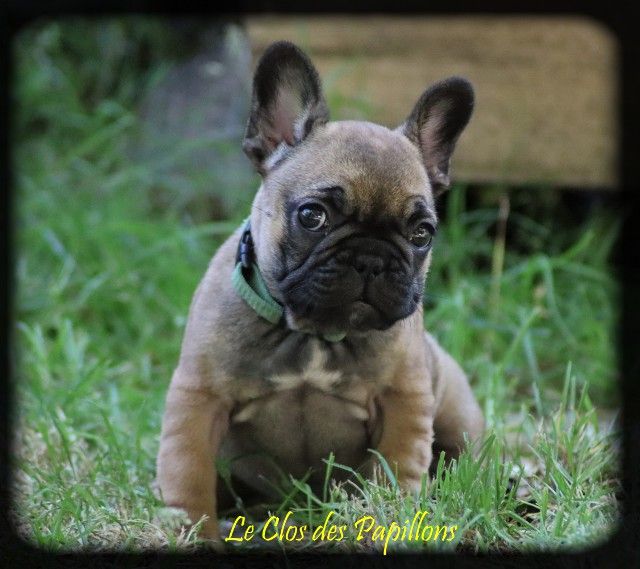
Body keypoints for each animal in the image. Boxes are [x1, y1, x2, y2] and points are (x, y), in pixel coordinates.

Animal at [156, 41, 484, 543]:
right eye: (313, 216)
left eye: (422, 233)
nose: (370, 258)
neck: (310, 333)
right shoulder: (199, 398)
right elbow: (187, 472)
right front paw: (192, 531)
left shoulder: (403, 402)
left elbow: (395, 471)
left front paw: (385, 522)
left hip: (458, 413)